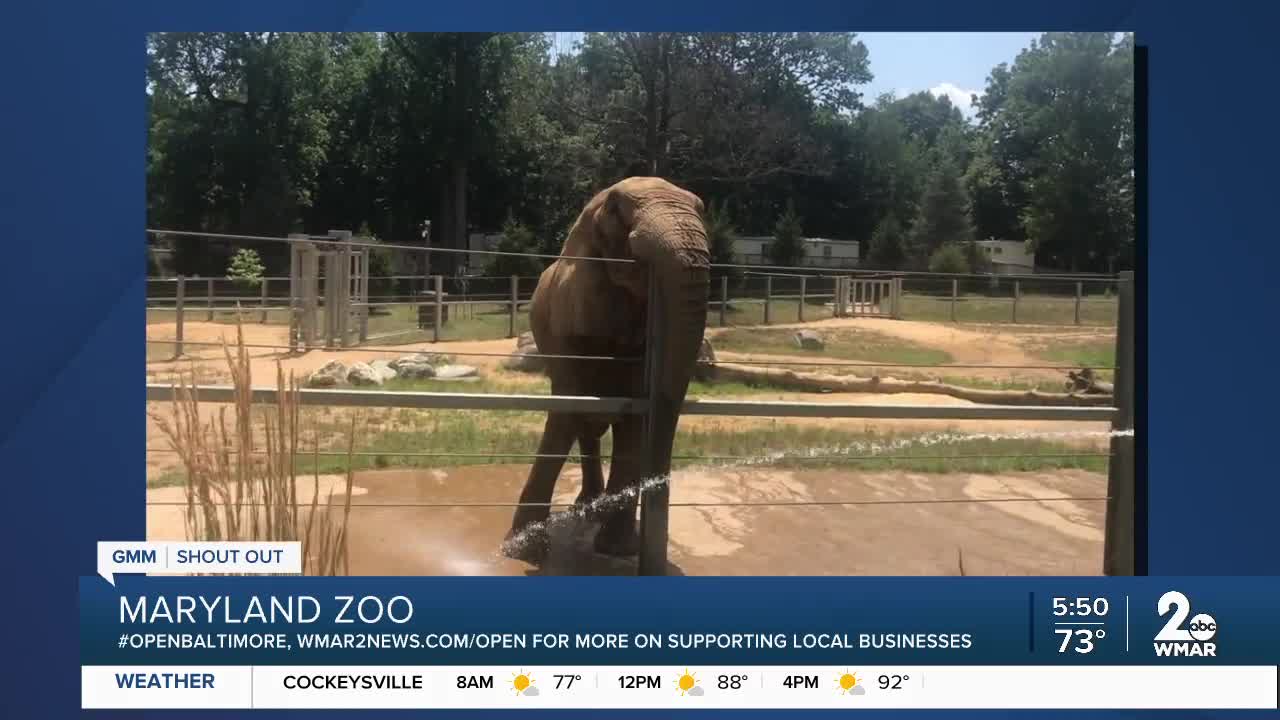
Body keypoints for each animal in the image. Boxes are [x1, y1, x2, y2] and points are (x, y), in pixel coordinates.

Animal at [501, 176, 711, 558]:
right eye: (617, 211)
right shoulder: (571, 313)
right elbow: (566, 412)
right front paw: (523, 551)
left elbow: (634, 424)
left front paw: (618, 550)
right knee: (583, 423)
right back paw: (586, 509)